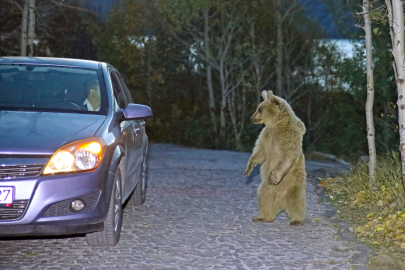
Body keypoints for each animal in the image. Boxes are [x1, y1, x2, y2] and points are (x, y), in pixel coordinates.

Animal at [243, 89, 306, 225]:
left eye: (260, 109)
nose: (251, 118)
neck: (276, 125)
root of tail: (281, 202)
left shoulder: (289, 135)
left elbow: (289, 155)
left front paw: (274, 176)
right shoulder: (266, 136)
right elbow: (260, 153)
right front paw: (249, 168)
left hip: (294, 185)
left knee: (296, 202)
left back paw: (296, 220)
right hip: (266, 189)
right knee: (264, 200)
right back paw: (262, 217)